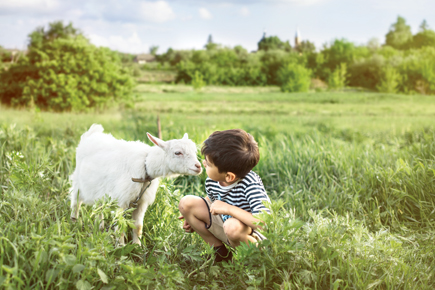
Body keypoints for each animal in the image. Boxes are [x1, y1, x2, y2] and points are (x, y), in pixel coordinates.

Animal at [70, 124, 203, 245]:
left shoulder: (141, 201)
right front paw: (121, 246)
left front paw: (137, 246)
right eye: (177, 152)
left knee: (99, 208)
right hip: (78, 182)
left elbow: (138, 226)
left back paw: (100, 227)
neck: (145, 166)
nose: (198, 166)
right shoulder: (122, 199)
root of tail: (91, 134)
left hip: (99, 190)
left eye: (194, 151)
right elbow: (120, 225)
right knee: (75, 203)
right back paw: (74, 222)